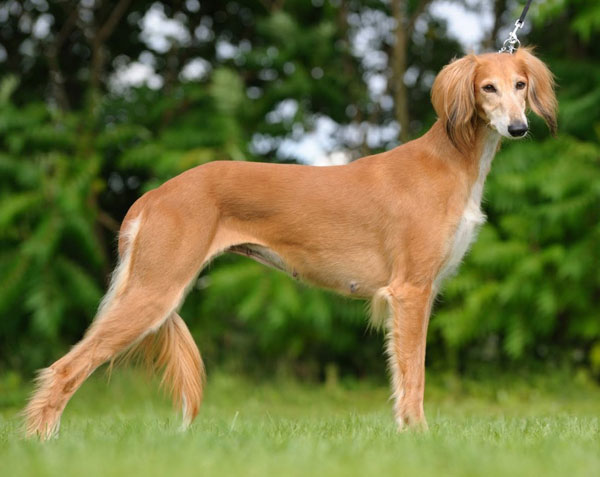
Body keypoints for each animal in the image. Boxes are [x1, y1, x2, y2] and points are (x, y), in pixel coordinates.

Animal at [23, 46, 556, 436]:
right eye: (487, 87)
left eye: (520, 85)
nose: (519, 127)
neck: (448, 160)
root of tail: (156, 194)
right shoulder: (411, 291)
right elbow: (414, 377)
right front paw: (420, 437)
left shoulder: (407, 296)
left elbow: (402, 378)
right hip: (154, 290)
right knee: (64, 368)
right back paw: (42, 442)